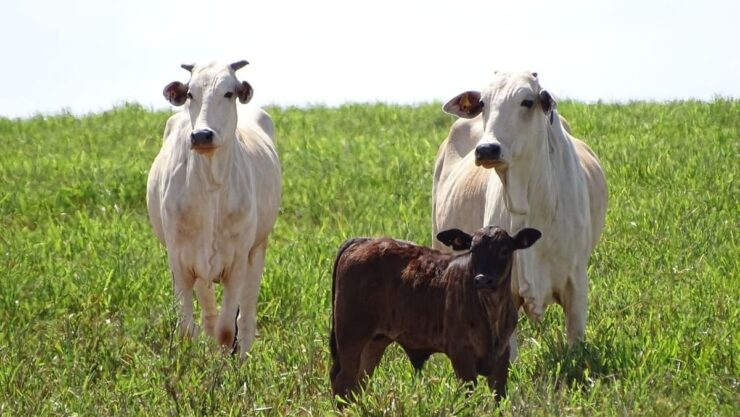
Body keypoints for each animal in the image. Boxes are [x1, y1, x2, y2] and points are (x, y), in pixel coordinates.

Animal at [146, 61, 281, 355]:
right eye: (190, 94)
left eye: (229, 93)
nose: (201, 135)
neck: (211, 185)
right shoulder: (180, 262)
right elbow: (188, 329)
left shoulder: (238, 261)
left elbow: (226, 330)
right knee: (208, 314)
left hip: (257, 251)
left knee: (246, 317)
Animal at [329, 225, 542, 404]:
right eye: (473, 250)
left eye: (504, 250)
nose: (483, 279)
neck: (491, 313)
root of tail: (364, 240)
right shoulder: (461, 353)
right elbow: (468, 396)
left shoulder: (502, 355)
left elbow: (499, 398)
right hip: (351, 336)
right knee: (342, 383)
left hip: (374, 342)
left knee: (357, 384)